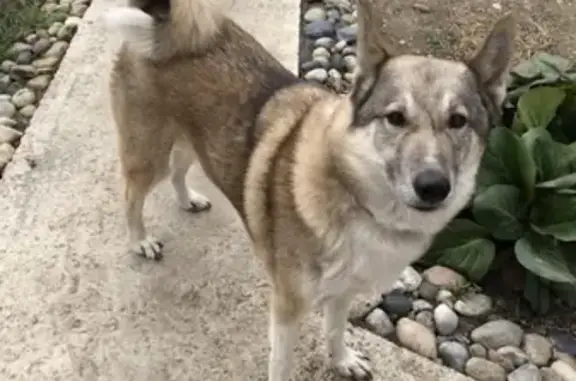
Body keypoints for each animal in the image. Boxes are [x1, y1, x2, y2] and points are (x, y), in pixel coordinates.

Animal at [104, 0, 516, 378]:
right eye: (396, 118)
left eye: (458, 121)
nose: (433, 186)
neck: (354, 198)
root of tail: (164, 21)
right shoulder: (288, 307)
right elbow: (282, 362)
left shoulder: (343, 292)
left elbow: (334, 330)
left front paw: (342, 361)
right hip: (148, 153)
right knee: (131, 196)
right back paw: (141, 240)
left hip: (194, 141)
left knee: (179, 169)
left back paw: (187, 199)